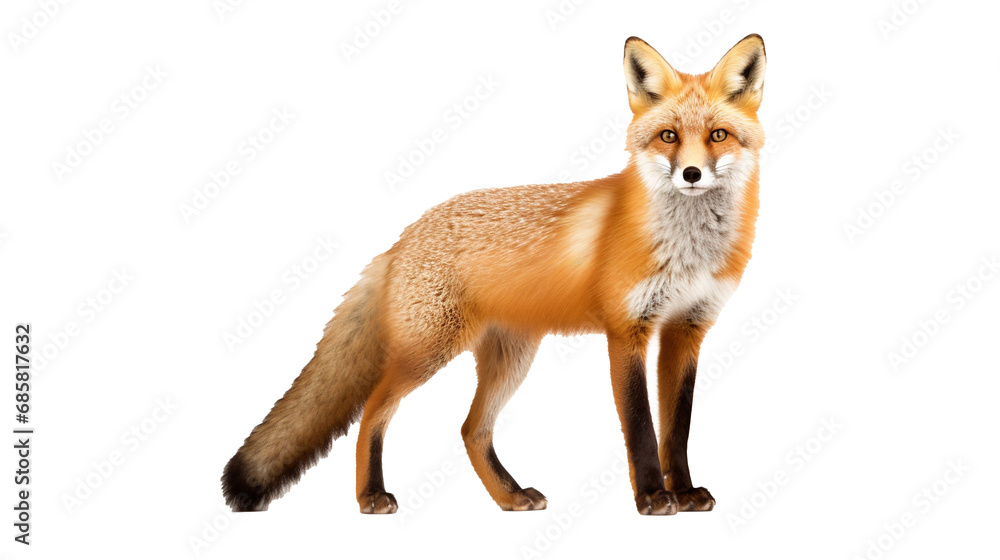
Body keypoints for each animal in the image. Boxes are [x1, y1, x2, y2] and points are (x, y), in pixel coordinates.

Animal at [223, 34, 766, 516]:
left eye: (718, 135)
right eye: (668, 136)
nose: (691, 174)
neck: (687, 251)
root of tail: (401, 238)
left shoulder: (686, 330)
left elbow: (677, 430)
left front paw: (686, 493)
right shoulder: (627, 329)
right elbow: (641, 429)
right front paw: (654, 498)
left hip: (511, 358)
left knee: (471, 429)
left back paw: (510, 497)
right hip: (428, 352)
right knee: (372, 413)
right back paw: (371, 496)